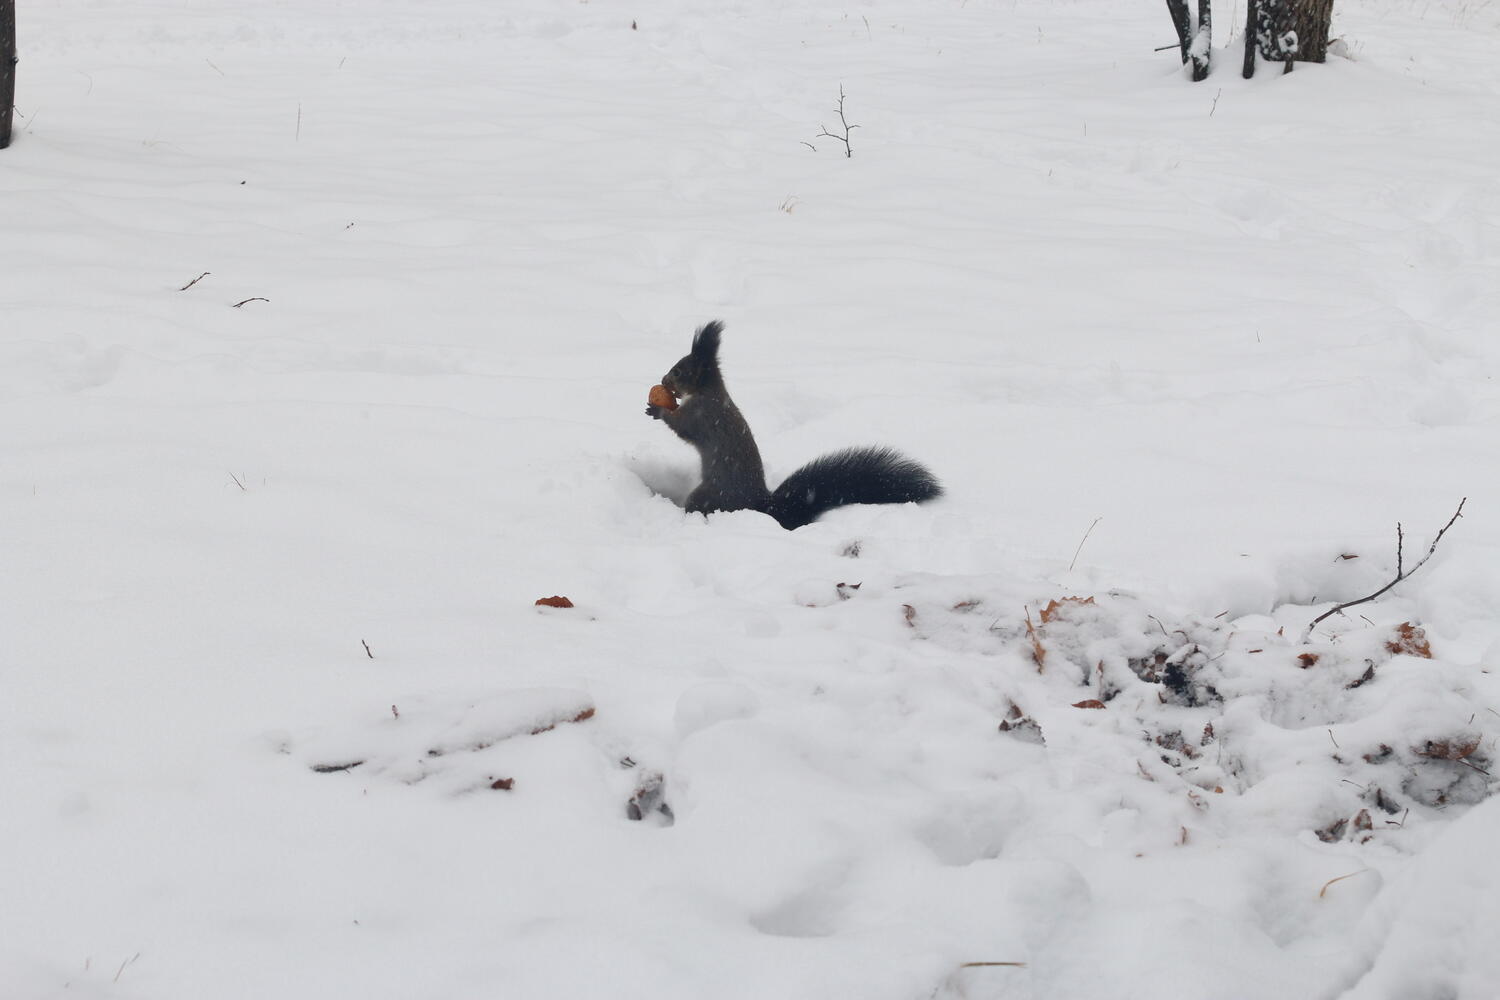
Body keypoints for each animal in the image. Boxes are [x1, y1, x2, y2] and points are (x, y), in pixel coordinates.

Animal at [645, 320, 942, 529]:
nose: (663, 379)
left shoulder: (702, 415)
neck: (708, 392)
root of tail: (760, 506)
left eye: (679, 371)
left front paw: (657, 410)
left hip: (710, 494)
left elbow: (682, 428)